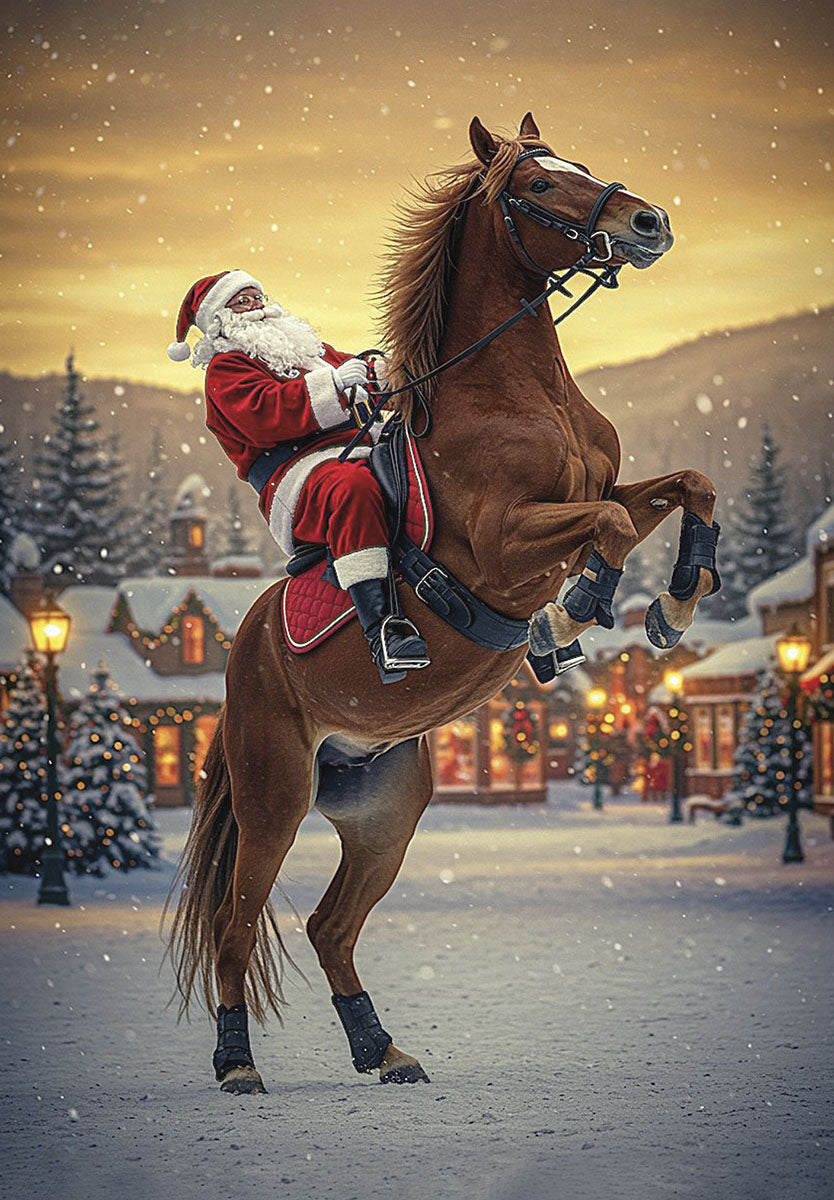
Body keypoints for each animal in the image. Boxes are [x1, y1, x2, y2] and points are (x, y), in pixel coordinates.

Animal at [166, 112, 720, 1095]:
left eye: (576, 164)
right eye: (537, 185)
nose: (648, 221)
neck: (515, 393)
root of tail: (239, 661)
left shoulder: (609, 487)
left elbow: (687, 487)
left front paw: (677, 601)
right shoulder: (505, 544)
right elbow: (612, 524)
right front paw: (572, 611)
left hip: (386, 810)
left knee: (330, 927)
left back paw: (381, 1048)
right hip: (275, 796)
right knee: (236, 923)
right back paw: (237, 1064)